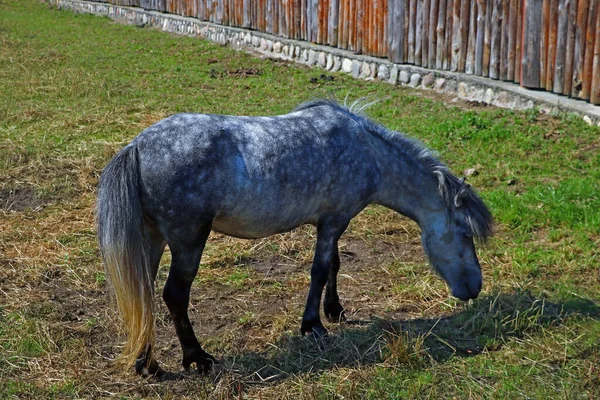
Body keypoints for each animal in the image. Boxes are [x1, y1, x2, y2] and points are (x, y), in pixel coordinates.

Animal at [97, 98, 492, 376]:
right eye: (464, 233)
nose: (474, 288)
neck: (367, 151)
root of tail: (137, 147)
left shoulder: (332, 222)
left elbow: (333, 264)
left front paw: (334, 310)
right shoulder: (333, 221)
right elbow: (319, 270)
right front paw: (313, 325)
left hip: (153, 239)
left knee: (143, 294)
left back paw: (147, 364)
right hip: (188, 241)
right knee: (174, 295)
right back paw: (197, 358)